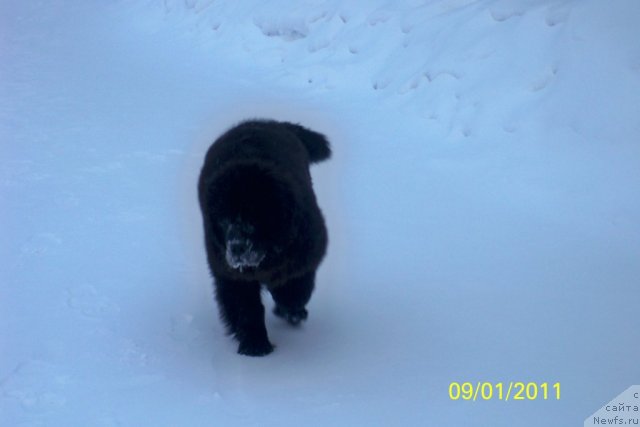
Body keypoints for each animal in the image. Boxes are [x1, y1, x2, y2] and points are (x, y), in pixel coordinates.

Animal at [198, 118, 330, 356]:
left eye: (254, 219)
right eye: (223, 220)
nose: (237, 247)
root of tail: (267, 121)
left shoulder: (304, 256)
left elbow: (296, 288)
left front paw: (292, 310)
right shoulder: (230, 273)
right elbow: (246, 307)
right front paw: (255, 345)